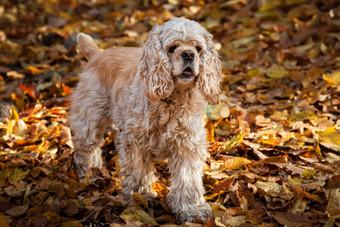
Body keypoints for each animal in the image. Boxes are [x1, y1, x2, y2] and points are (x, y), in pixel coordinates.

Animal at [69, 16, 223, 223]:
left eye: (198, 48)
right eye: (172, 48)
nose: (189, 54)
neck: (173, 99)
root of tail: (97, 54)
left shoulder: (187, 144)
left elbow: (187, 179)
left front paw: (192, 210)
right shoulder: (135, 140)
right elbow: (138, 172)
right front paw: (141, 197)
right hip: (90, 118)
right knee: (85, 151)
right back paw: (91, 177)